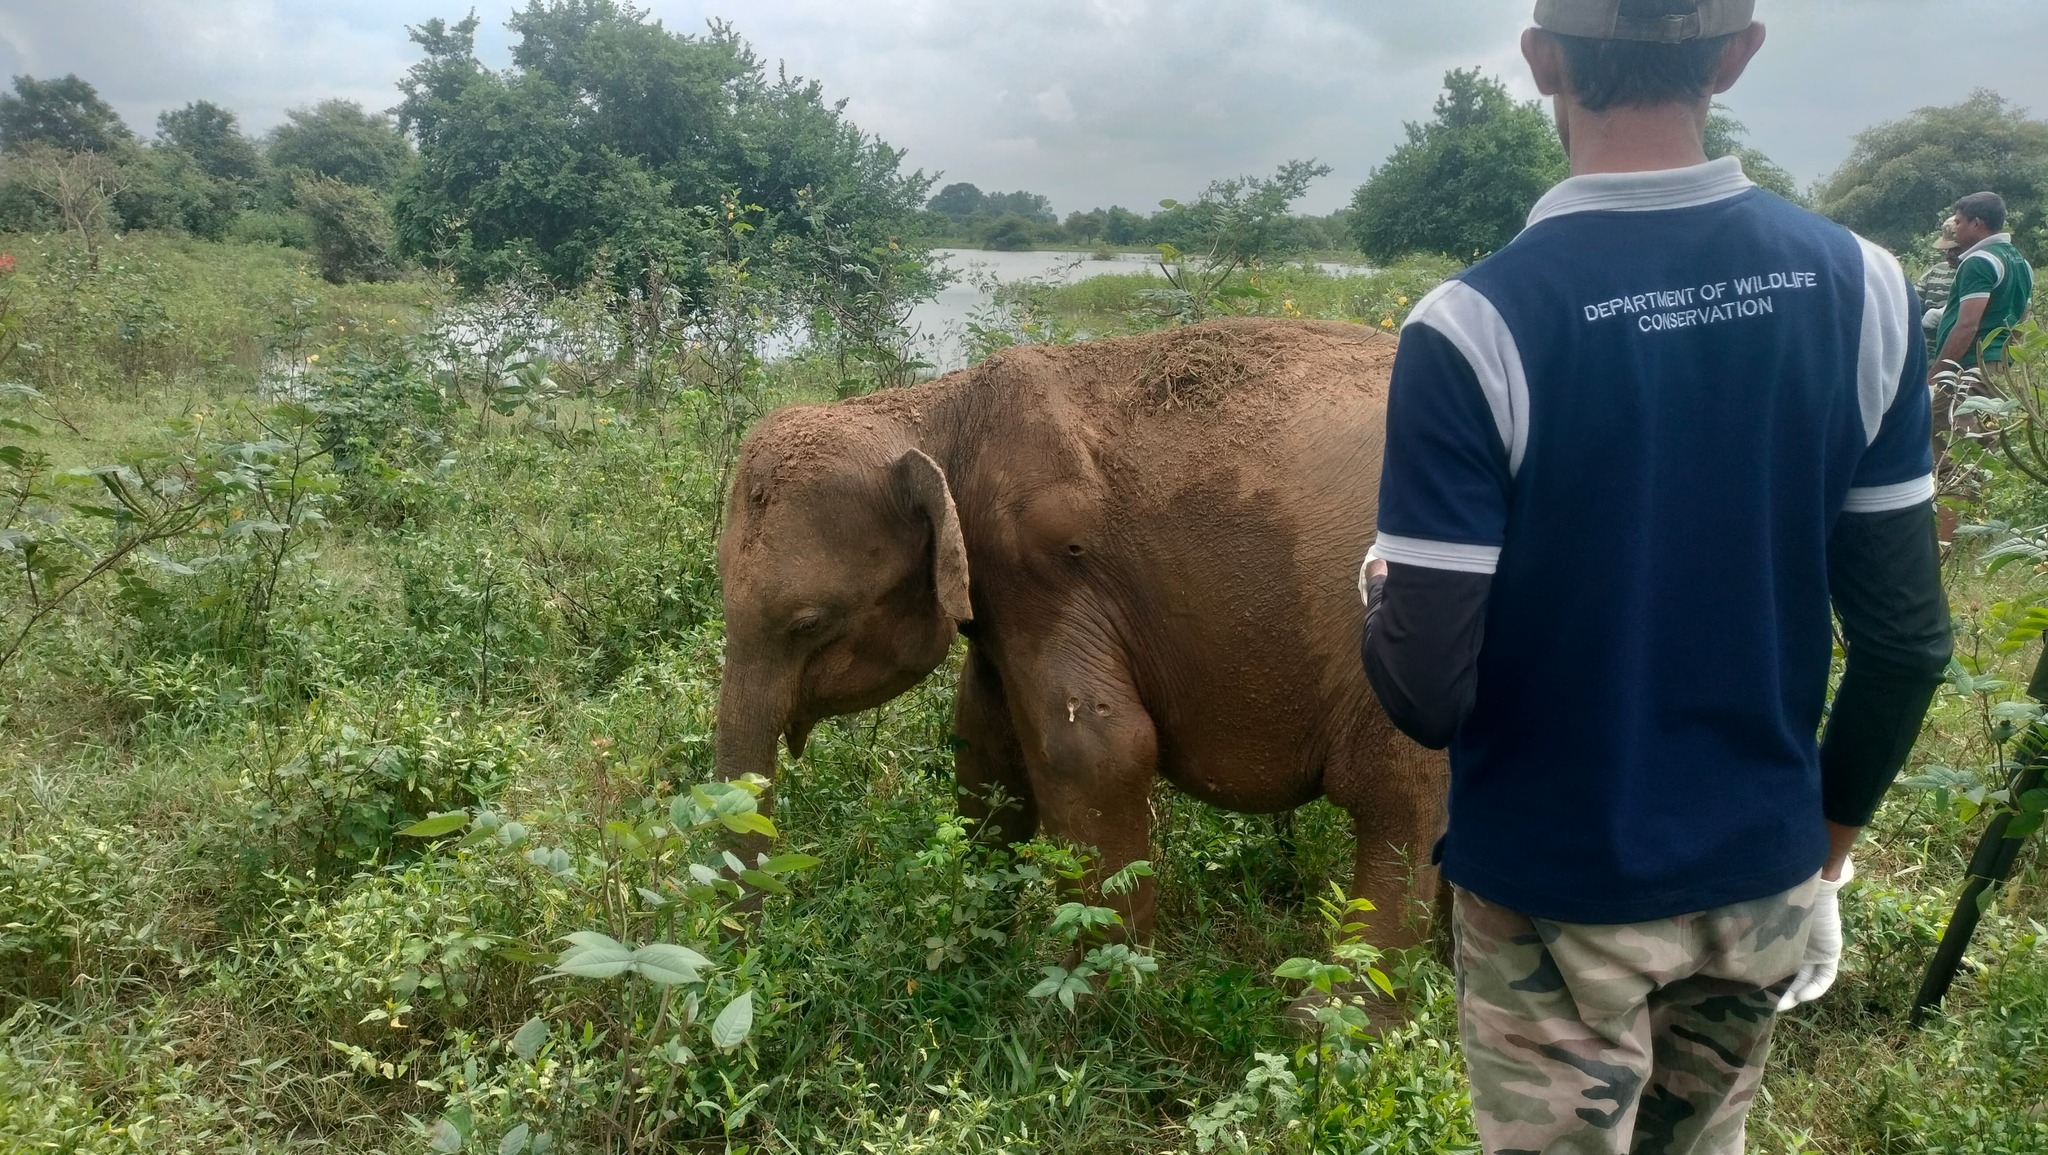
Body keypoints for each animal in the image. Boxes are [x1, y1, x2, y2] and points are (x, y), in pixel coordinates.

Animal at [712, 317, 1449, 958]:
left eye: (807, 623)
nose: (745, 957)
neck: (939, 407)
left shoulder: (1045, 566)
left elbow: (1094, 749)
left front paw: (1098, 1001)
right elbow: (984, 739)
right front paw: (978, 951)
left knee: (1399, 797)